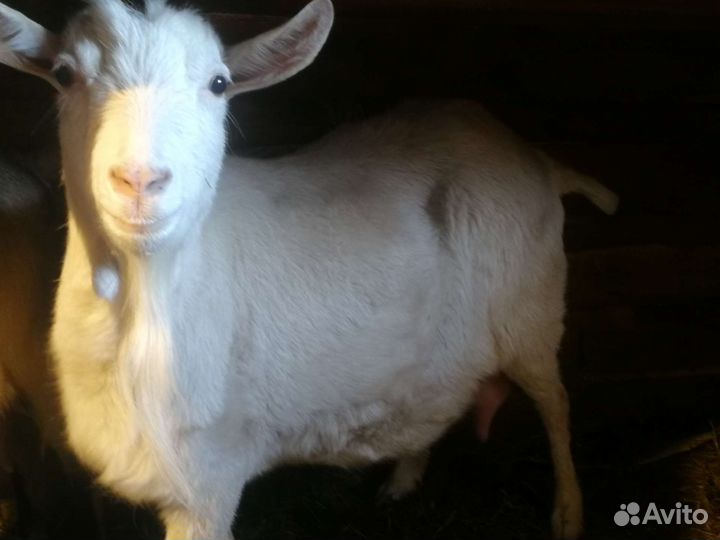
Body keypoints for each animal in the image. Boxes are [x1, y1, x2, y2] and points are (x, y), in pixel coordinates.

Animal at [0, 1, 618, 538]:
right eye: (63, 75)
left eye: (219, 83)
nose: (140, 181)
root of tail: (535, 158)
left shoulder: (207, 480)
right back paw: (403, 479)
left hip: (531, 309)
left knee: (555, 402)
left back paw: (569, 513)